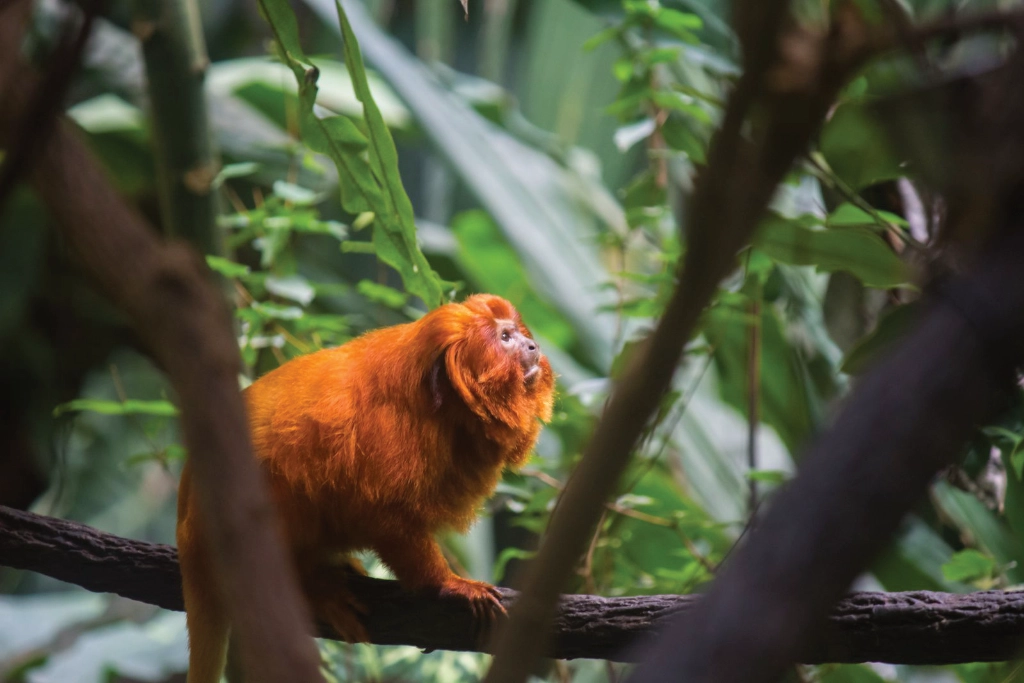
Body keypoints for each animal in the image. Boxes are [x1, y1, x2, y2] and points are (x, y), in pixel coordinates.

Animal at [176, 294, 555, 683]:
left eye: (517, 333)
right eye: (505, 338)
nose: (532, 346)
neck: (438, 409)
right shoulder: (387, 434)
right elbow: (384, 516)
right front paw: (446, 585)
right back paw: (311, 583)